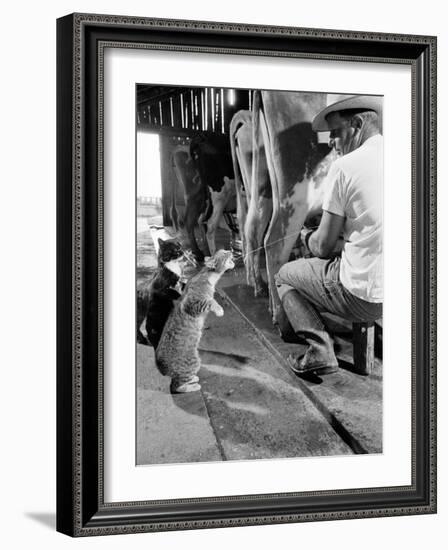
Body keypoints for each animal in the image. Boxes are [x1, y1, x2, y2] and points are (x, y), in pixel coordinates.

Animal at [156, 248, 234, 394]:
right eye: (224, 253)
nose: (230, 250)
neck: (207, 277)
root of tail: (161, 369)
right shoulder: (192, 304)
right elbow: (210, 301)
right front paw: (219, 309)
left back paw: (193, 380)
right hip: (193, 362)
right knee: (177, 386)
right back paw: (193, 385)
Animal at [229, 91, 338, 328]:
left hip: (263, 190)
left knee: (252, 226)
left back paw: (258, 286)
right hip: (297, 193)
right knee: (274, 241)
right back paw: (281, 317)